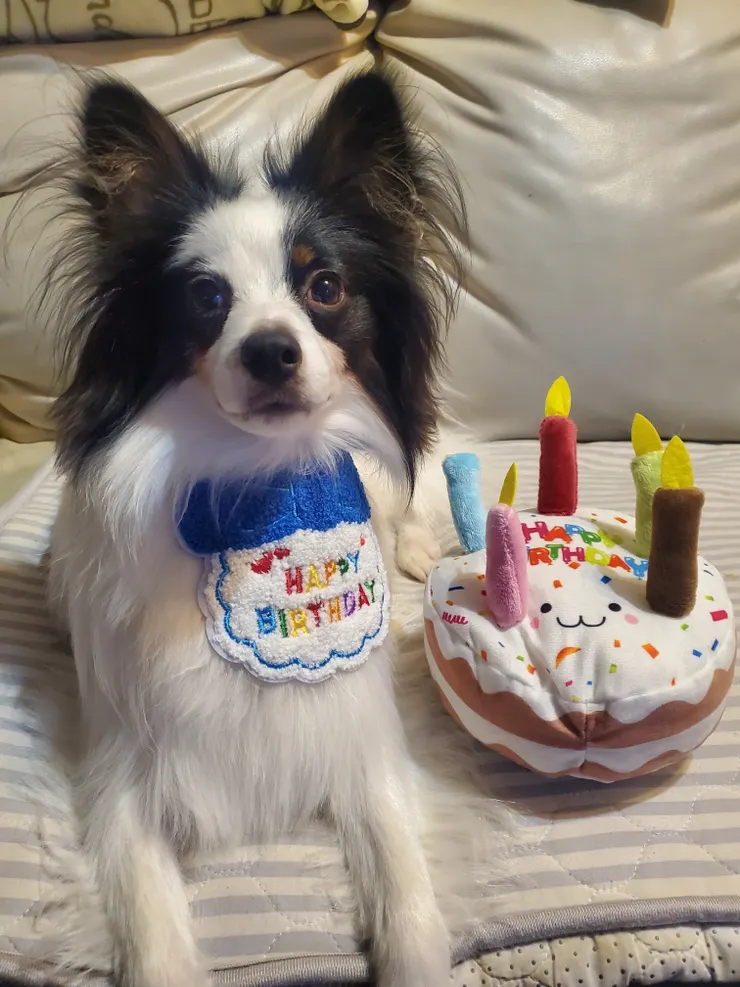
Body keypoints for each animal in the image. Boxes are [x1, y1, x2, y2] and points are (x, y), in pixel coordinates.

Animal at [46, 68, 465, 987]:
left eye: (325, 288)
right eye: (207, 299)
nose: (271, 350)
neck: (256, 484)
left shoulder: (363, 743)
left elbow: (408, 892)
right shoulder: (125, 777)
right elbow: (154, 934)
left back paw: (420, 546)